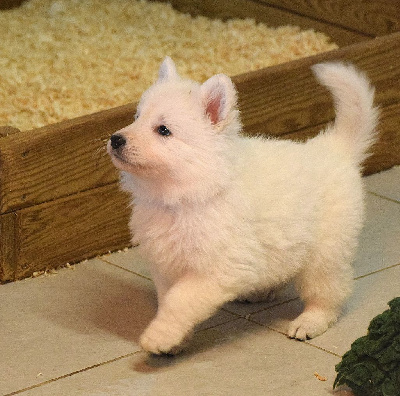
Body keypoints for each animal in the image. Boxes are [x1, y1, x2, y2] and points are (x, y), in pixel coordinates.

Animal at [106, 57, 378, 354]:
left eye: (163, 130)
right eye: (136, 118)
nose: (115, 139)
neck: (188, 194)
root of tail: (333, 149)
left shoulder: (218, 269)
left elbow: (180, 300)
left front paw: (159, 336)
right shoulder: (166, 264)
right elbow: (168, 299)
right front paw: (176, 340)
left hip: (324, 254)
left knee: (327, 294)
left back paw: (309, 321)